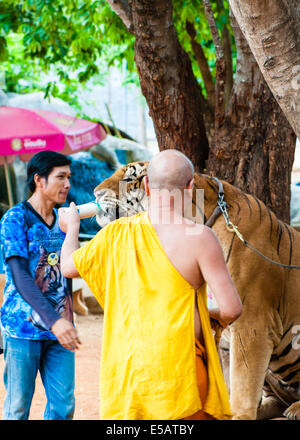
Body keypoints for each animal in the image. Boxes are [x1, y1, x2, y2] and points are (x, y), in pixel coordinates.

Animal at [92, 161, 300, 420]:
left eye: (131, 178)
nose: (95, 194)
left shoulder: (252, 325)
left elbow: (242, 385)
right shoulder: (222, 328)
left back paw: (295, 408)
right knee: (275, 400)